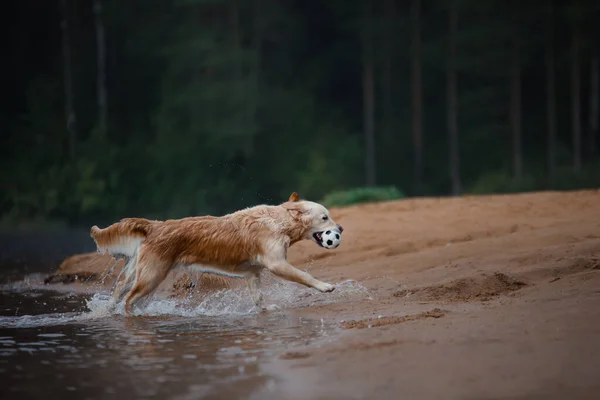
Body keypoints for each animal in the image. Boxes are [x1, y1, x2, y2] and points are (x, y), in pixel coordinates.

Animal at [88, 192, 342, 314]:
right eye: (325, 217)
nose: (340, 229)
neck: (279, 221)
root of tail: (154, 225)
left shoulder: (253, 272)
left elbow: (258, 297)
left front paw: (266, 309)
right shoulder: (277, 264)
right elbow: (304, 275)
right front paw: (325, 286)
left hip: (138, 272)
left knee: (120, 290)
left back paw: (104, 313)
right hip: (152, 276)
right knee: (129, 299)